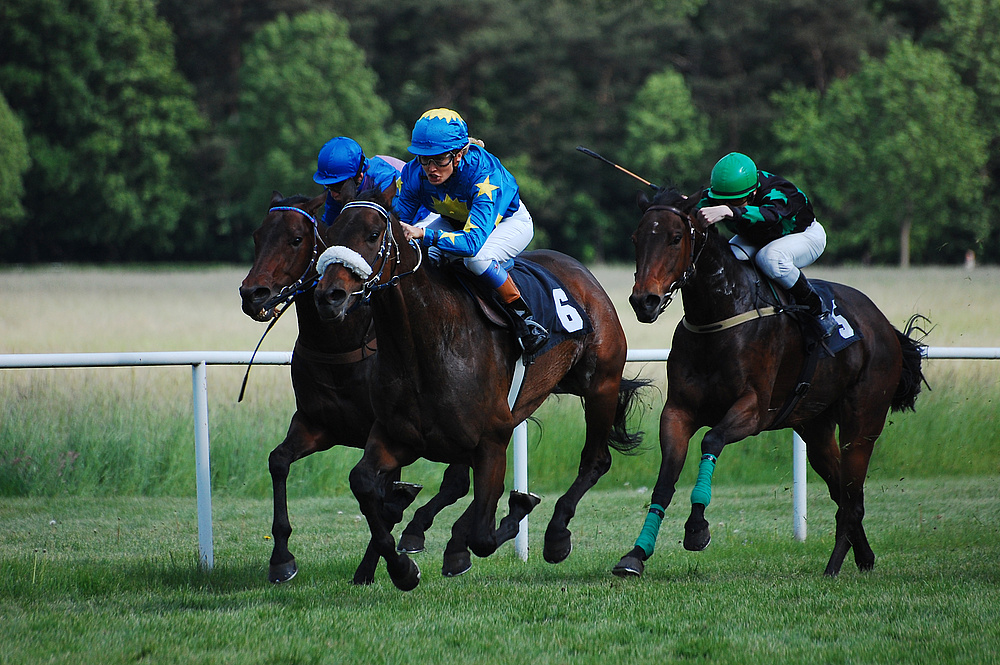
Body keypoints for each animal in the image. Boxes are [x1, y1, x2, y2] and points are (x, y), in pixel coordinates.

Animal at [237, 189, 468, 584]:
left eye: (296, 239)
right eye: (256, 236)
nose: (253, 294)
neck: (339, 343)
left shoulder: (393, 431)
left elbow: (381, 497)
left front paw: (376, 565)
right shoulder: (318, 424)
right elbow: (278, 461)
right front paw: (281, 558)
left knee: (457, 482)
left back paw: (417, 533)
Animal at [316, 189, 652, 588]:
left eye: (371, 235)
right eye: (331, 233)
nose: (329, 296)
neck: (426, 345)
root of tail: (584, 275)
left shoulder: (492, 438)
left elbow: (483, 535)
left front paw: (514, 512)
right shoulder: (399, 435)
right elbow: (364, 481)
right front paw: (402, 568)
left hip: (600, 384)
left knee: (596, 459)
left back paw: (555, 535)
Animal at [612, 185, 924, 576]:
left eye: (675, 237)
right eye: (636, 238)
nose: (645, 301)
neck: (720, 314)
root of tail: (883, 325)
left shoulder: (754, 409)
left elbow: (712, 440)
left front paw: (697, 528)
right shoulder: (679, 410)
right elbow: (665, 478)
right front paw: (636, 553)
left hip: (863, 422)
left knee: (852, 496)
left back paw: (833, 567)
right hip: (815, 428)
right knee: (843, 493)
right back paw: (864, 558)